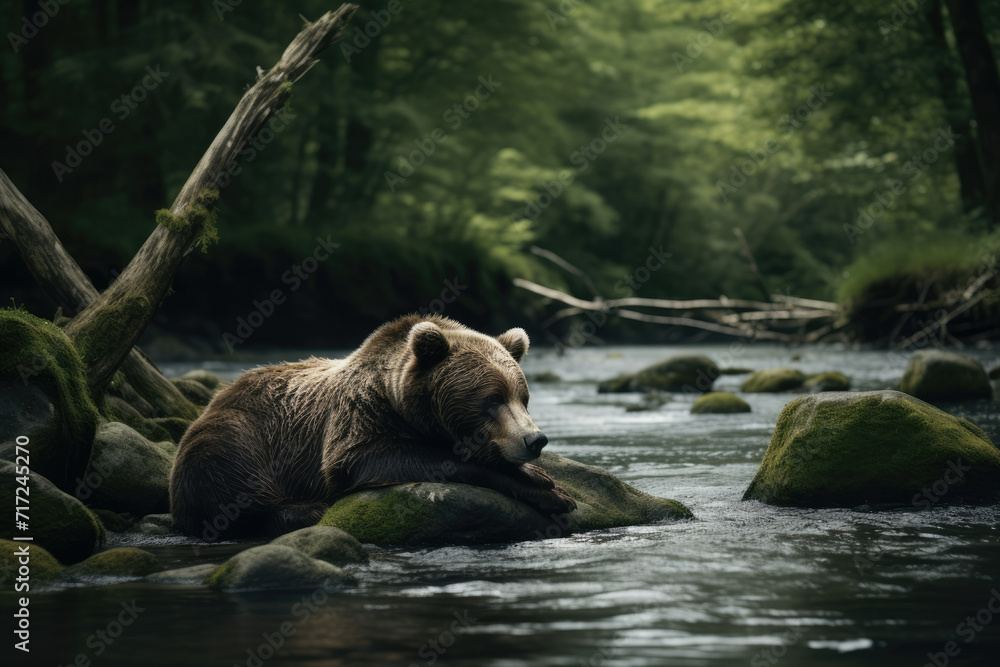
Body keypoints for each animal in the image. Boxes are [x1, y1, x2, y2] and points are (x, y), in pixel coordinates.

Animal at [169, 314, 576, 540]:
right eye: (492, 399)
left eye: (522, 397)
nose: (535, 439)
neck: (397, 400)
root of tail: (216, 398)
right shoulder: (356, 422)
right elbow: (376, 459)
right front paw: (550, 489)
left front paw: (545, 479)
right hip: (239, 437)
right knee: (235, 487)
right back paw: (307, 509)